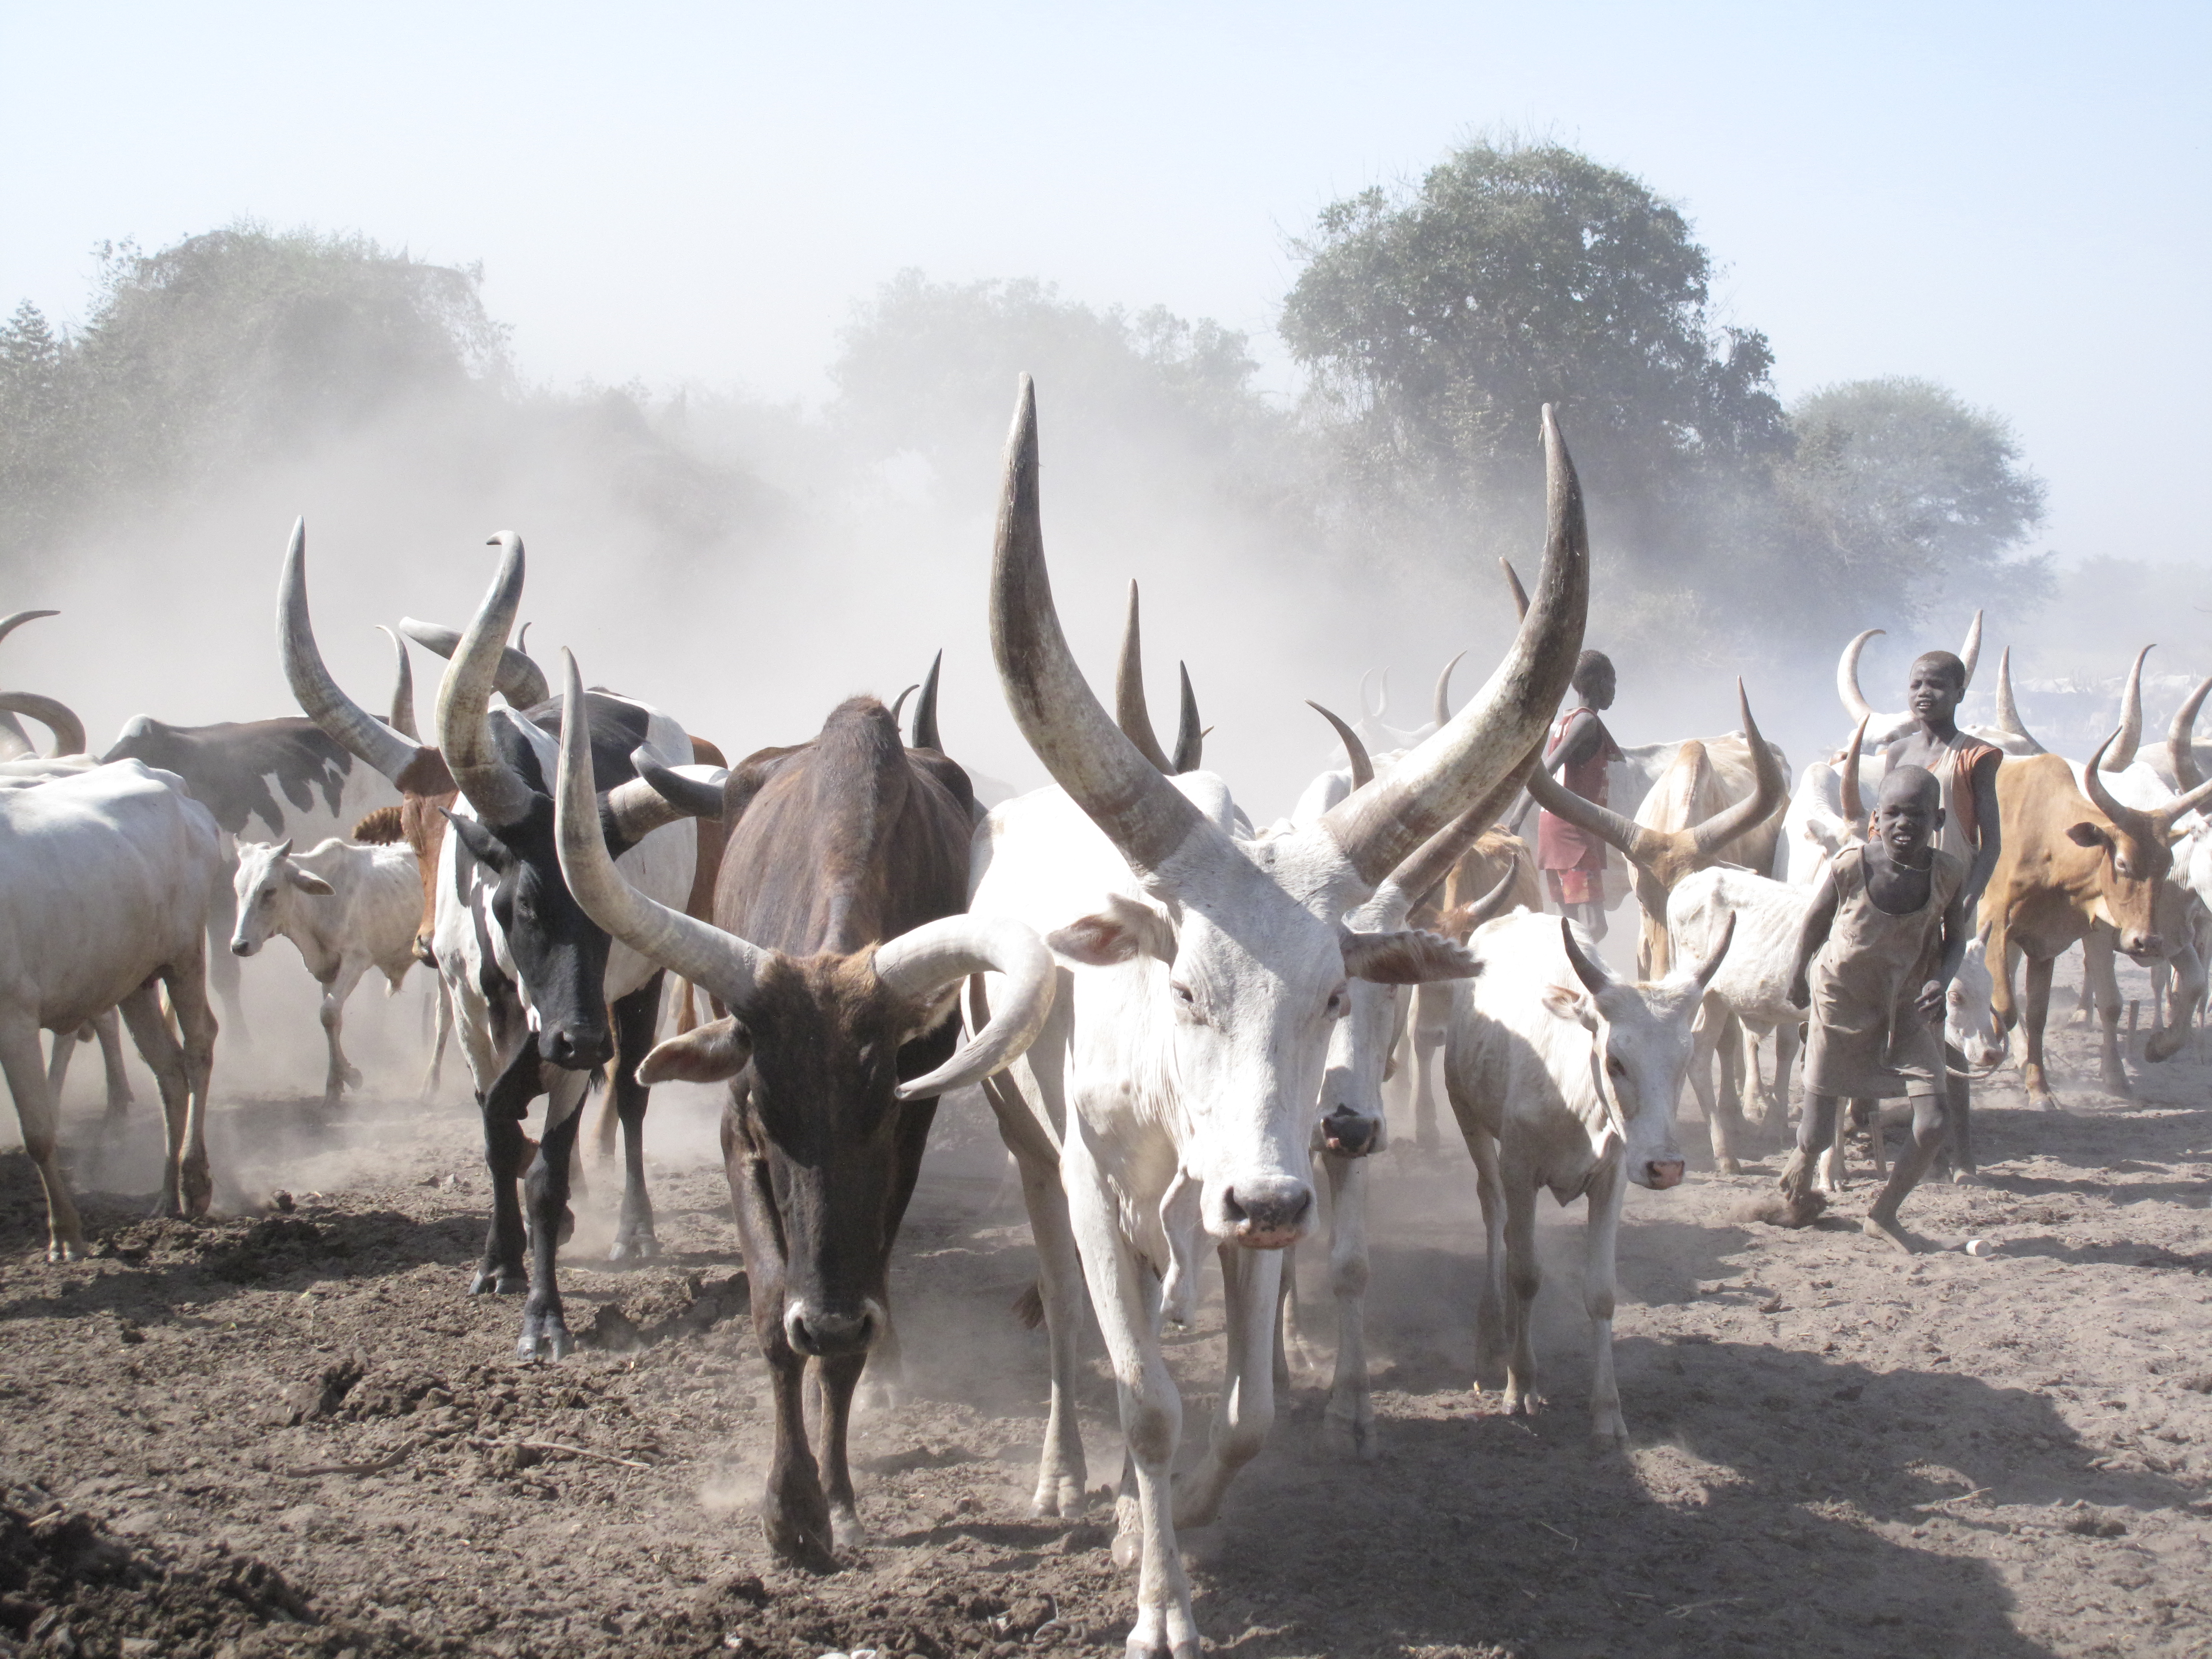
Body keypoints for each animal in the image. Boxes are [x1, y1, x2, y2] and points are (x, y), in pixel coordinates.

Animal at [0, 752, 225, 1256]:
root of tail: (172, 783)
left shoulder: (14, 1018)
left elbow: (39, 1134)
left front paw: (66, 1233)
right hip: (135, 981)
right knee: (169, 1072)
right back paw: (166, 1197)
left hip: (184, 957)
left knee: (199, 1047)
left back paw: (194, 1180)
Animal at [229, 845, 444, 1106]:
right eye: (238, 889)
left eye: (270, 891)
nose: (239, 945)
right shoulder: (328, 970)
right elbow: (331, 1021)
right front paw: (334, 1084)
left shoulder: (356, 960)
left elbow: (329, 1012)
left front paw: (350, 1076)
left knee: (444, 1015)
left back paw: (431, 1084)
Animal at [562, 655, 1061, 1575]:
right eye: (766, 1112)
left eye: (882, 1114)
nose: (826, 1319)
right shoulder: (736, 1135)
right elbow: (769, 1313)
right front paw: (789, 1506)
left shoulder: (908, 1143)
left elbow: (850, 1327)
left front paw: (835, 1496)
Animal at [969, 380, 1592, 1659]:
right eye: (1183, 989)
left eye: (1335, 991)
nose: (1267, 1199)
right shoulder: (1105, 1188)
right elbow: (1146, 1403)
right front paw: (1159, 1595)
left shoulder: (1255, 1199)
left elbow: (1248, 1411)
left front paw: (1191, 1514)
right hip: (1027, 1144)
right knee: (1062, 1313)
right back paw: (1066, 1474)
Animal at [1442, 911, 1734, 1442]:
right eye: (1616, 1060)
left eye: (1684, 1062)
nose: (1666, 1168)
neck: (1574, 1093)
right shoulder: (1518, 1169)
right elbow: (1525, 1275)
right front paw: (1520, 1386)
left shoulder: (1611, 1179)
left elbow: (1600, 1292)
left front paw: (1607, 1411)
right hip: (1467, 1114)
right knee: (1494, 1214)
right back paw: (1494, 1338)